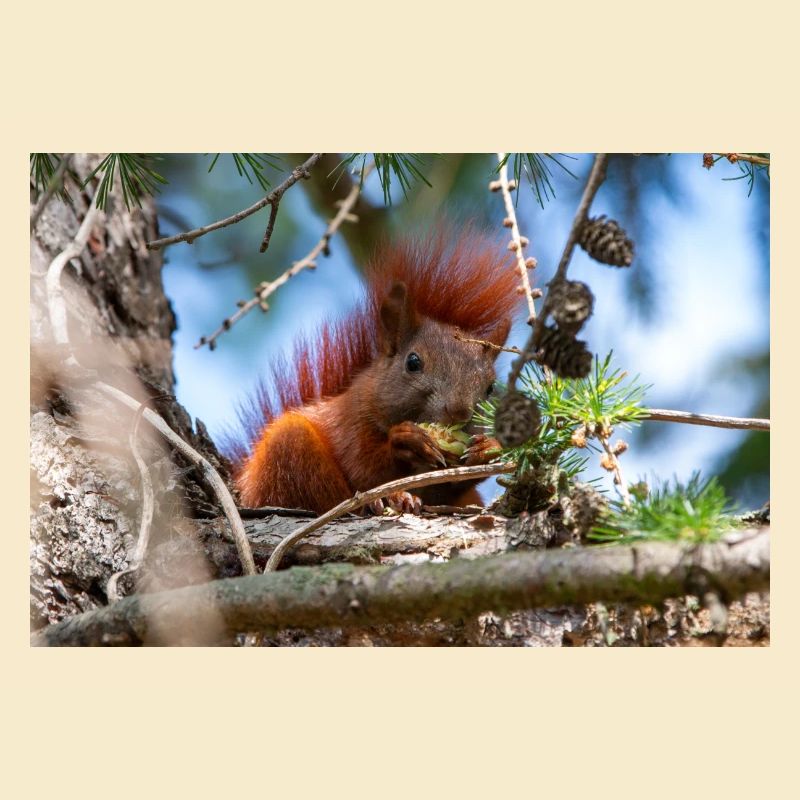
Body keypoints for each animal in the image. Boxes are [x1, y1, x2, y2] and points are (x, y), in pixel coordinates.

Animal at [230, 227, 521, 515]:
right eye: (413, 363)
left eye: (490, 387)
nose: (459, 411)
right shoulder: (349, 422)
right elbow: (364, 467)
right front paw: (405, 440)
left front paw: (489, 448)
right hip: (288, 451)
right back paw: (388, 499)